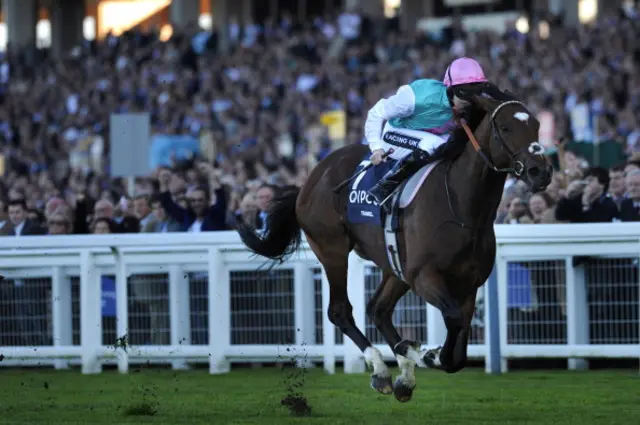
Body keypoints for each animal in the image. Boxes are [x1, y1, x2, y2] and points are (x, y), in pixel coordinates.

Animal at [238, 83, 552, 400]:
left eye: (537, 125)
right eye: (506, 127)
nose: (541, 171)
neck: (462, 207)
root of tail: (310, 178)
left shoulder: (468, 283)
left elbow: (458, 353)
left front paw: (418, 356)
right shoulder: (425, 276)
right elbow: (451, 324)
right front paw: (426, 354)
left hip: (394, 264)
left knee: (378, 310)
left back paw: (403, 373)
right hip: (332, 249)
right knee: (340, 311)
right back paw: (381, 369)